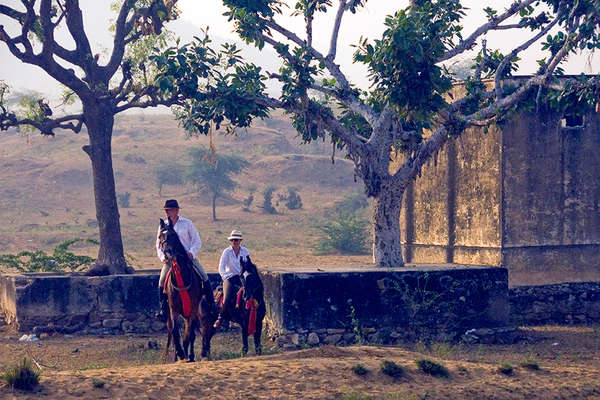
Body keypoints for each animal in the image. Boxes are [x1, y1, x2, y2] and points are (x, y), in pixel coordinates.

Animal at [157, 219, 216, 362]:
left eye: (173, 235)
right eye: (160, 236)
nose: (167, 253)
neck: (182, 277)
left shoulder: (193, 310)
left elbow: (189, 335)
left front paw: (186, 354)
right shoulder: (173, 309)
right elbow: (175, 331)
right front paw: (179, 352)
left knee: (193, 334)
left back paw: (191, 355)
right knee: (172, 333)